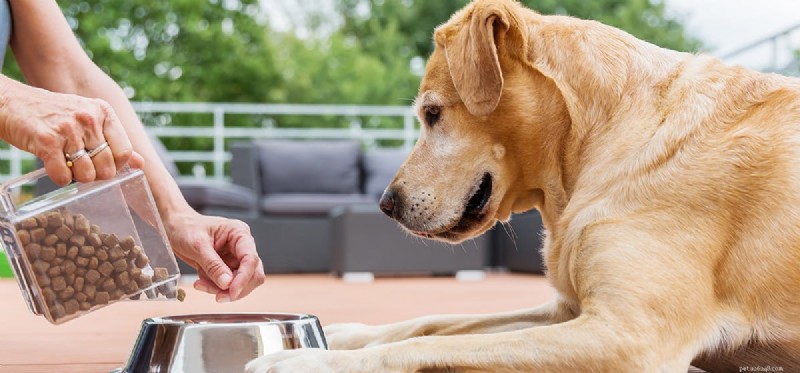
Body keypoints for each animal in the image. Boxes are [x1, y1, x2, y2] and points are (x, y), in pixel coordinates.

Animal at [247, 0, 796, 370]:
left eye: (432, 113)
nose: (385, 203)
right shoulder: (567, 311)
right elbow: (433, 322)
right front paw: (340, 334)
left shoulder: (631, 336)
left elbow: (433, 343)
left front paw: (307, 360)